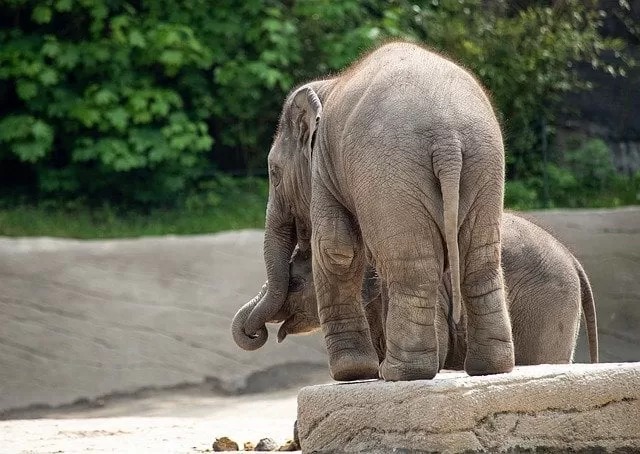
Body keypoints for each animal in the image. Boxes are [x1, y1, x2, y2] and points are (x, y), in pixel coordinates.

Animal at [231, 41, 515, 381]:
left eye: (273, 173)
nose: (256, 334)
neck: (328, 85)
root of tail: (448, 138)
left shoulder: (324, 167)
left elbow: (336, 249)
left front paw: (351, 373)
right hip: (484, 164)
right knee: (479, 258)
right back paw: (489, 368)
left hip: (390, 171)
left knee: (412, 265)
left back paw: (399, 372)